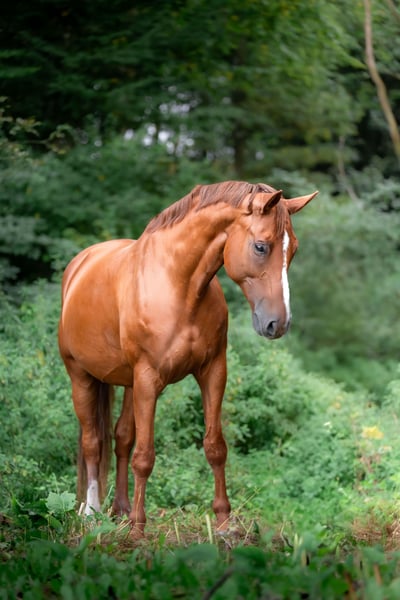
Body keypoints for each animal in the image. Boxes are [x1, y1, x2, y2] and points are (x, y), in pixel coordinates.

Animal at [58, 180, 317, 537]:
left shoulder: (213, 372)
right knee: (93, 442)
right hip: (81, 377)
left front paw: (224, 524)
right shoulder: (149, 379)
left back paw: (120, 510)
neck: (179, 287)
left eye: (293, 251)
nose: (278, 324)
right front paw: (139, 530)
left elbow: (215, 447)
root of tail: (80, 265)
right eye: (261, 247)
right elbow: (145, 456)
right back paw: (92, 513)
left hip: (127, 383)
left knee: (121, 439)